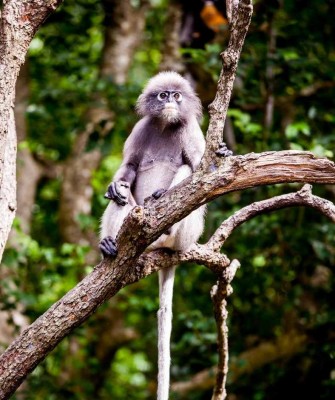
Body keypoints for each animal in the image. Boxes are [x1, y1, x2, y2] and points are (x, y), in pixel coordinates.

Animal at [100, 72, 231, 400]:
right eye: (163, 96)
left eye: (176, 95)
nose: (170, 101)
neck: (166, 126)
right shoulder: (142, 128)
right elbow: (128, 169)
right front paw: (115, 186)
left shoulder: (192, 131)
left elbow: (203, 169)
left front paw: (222, 153)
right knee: (122, 197)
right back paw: (110, 244)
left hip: (188, 233)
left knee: (186, 170)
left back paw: (163, 212)